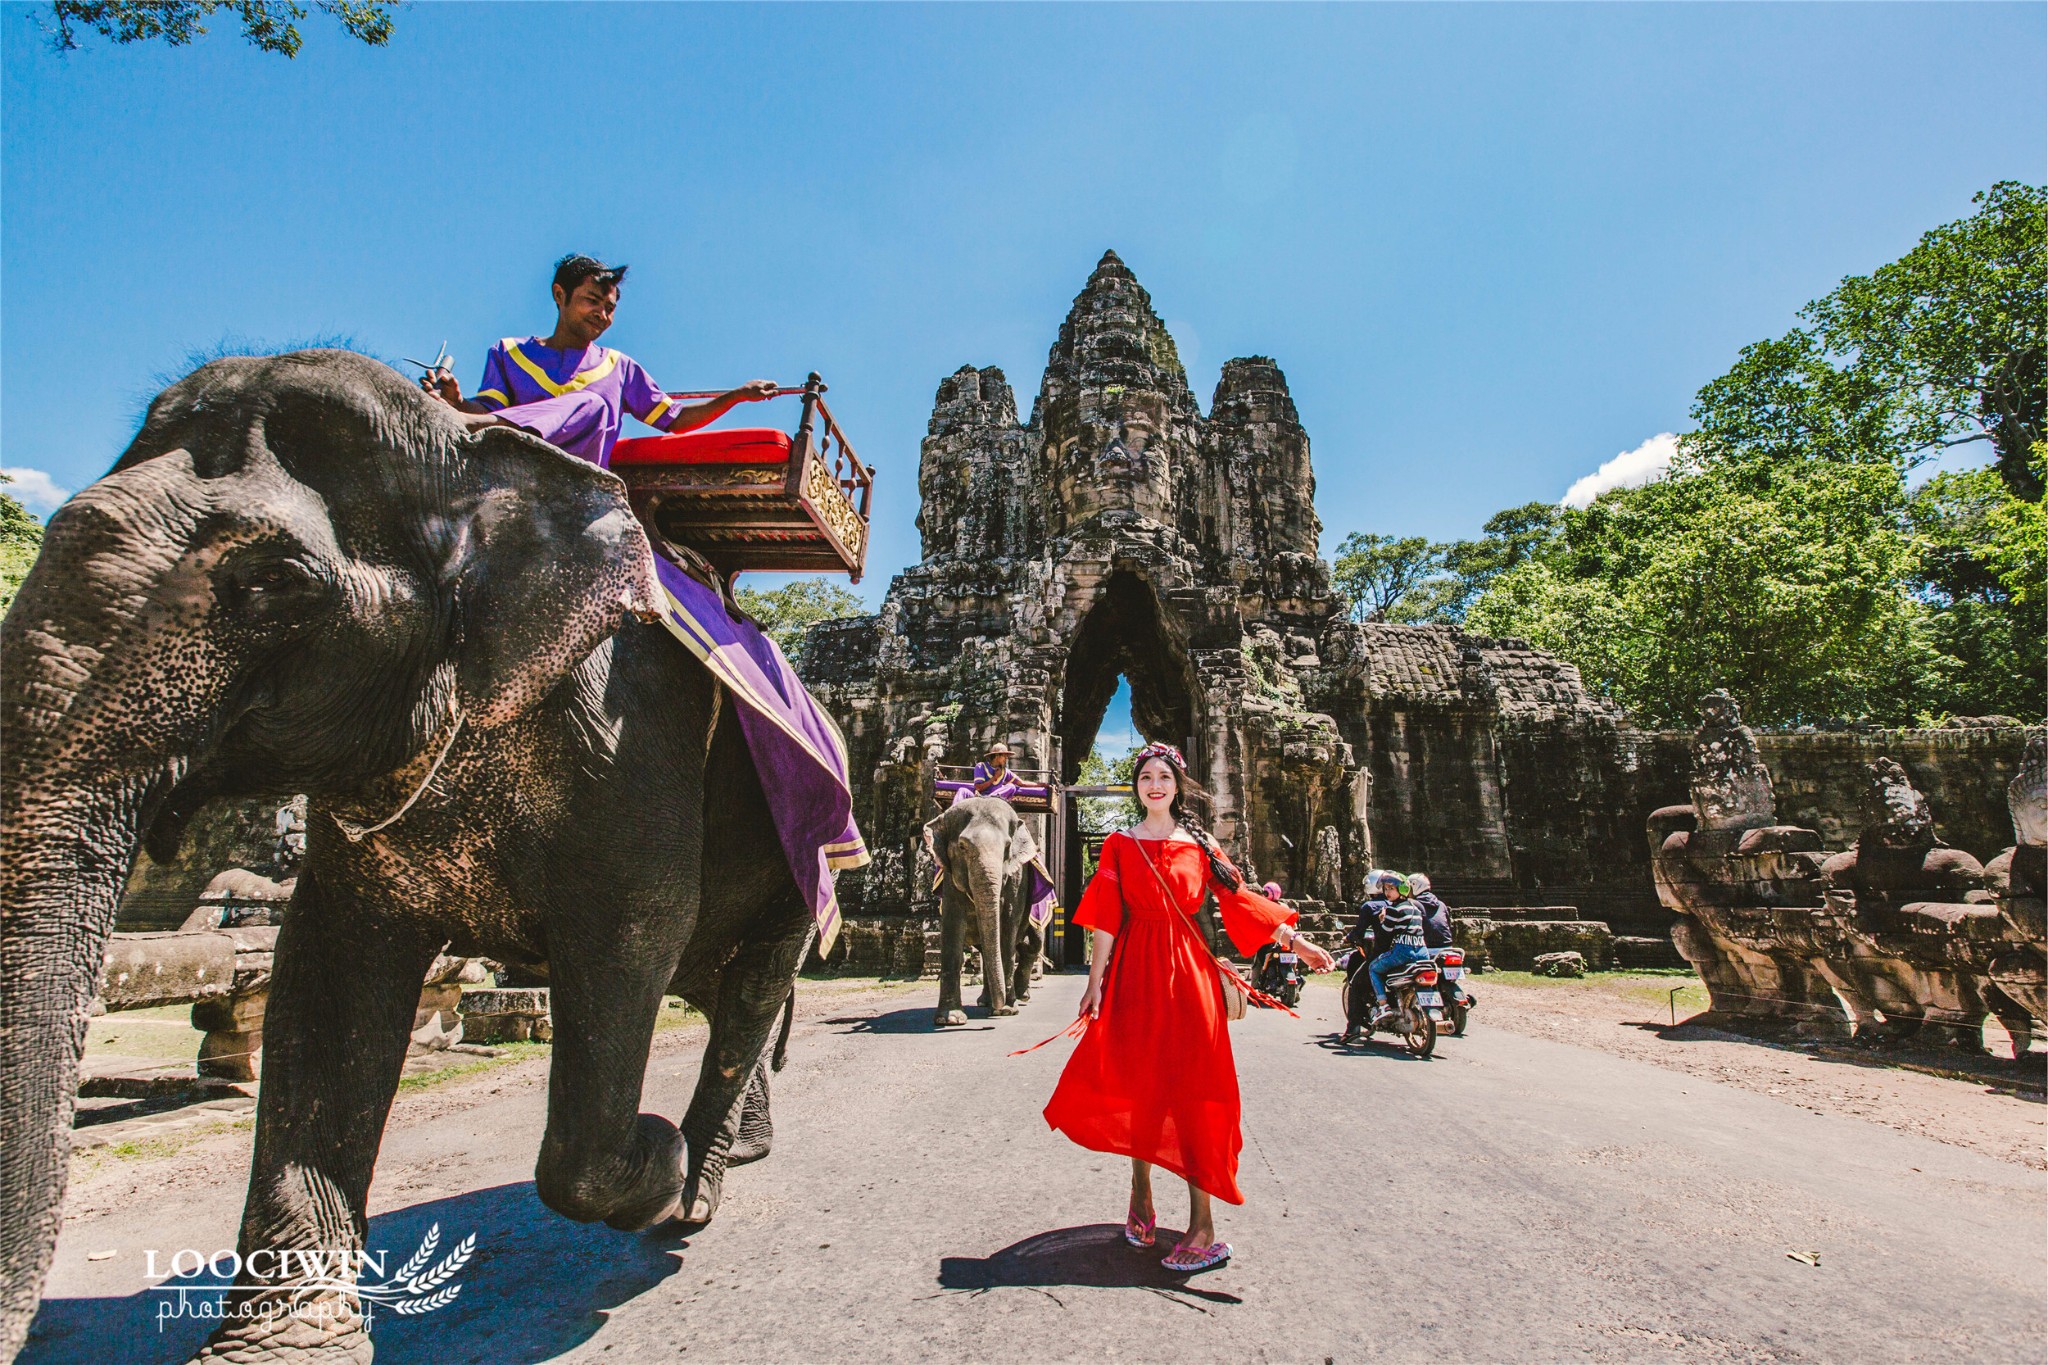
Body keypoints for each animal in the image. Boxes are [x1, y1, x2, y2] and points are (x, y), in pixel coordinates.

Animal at [6, 349, 831, 1358]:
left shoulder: (637, 750)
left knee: (750, 986)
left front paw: (656, 1157)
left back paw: (698, 1183)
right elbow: (322, 984)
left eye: (274, 580)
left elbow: (622, 983)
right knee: (720, 989)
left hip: (798, 857)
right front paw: (285, 1342)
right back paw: (733, 1148)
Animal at [937, 794, 1048, 1031]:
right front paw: (950, 1018)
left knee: (1031, 945)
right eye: (962, 846)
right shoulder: (949, 876)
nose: (988, 1025)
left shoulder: (1017, 877)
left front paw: (1006, 1010)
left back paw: (1020, 996)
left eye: (1007, 846)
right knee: (987, 948)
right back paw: (987, 1001)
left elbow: (1007, 926)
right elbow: (952, 928)